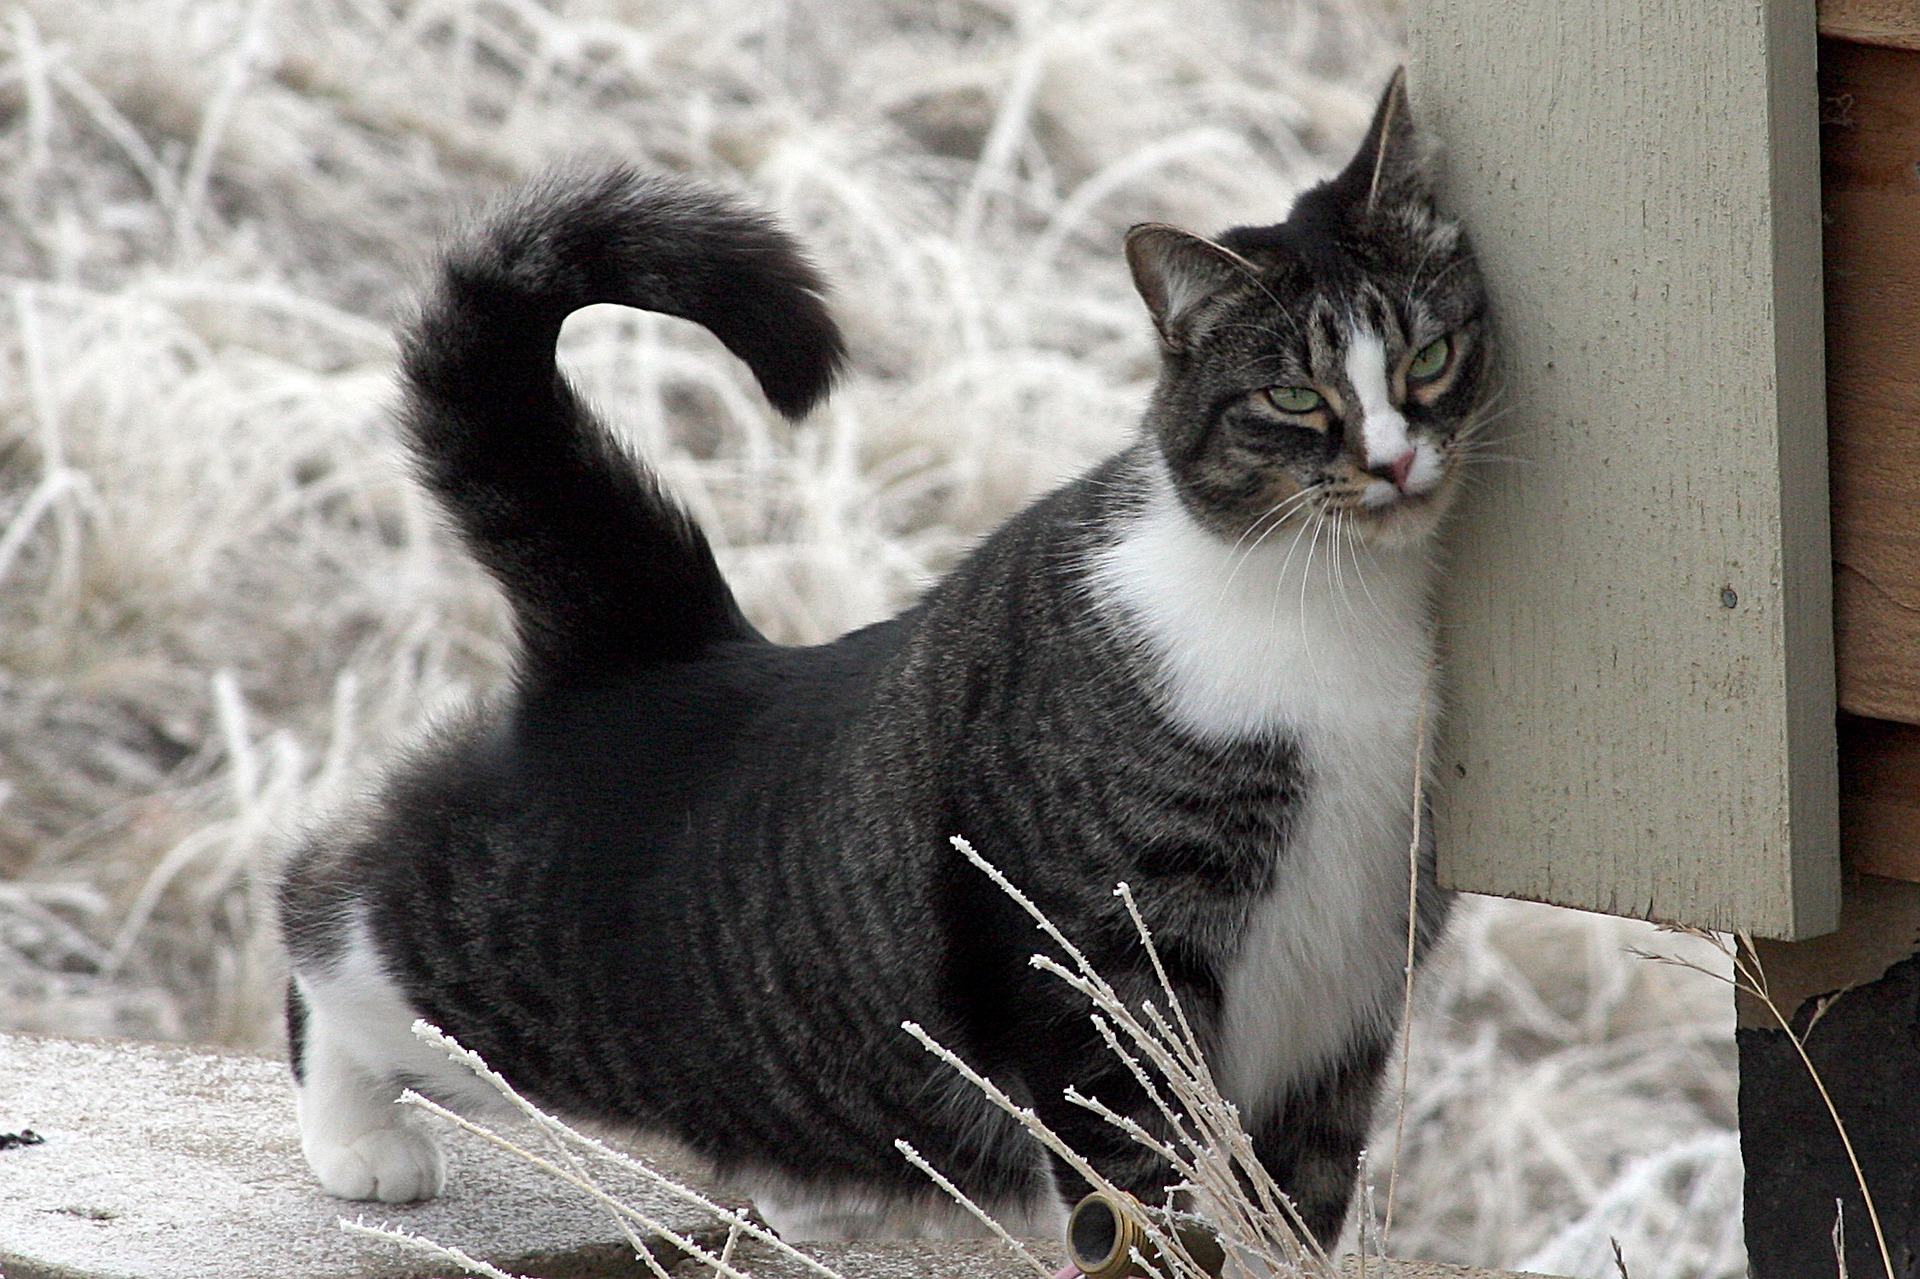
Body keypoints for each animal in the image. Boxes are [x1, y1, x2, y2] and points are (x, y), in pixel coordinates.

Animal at [278, 72, 1489, 1244]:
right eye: (1293, 394)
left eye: (1430, 356)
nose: (1394, 462)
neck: (1335, 605)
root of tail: (659, 642)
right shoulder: (1096, 970)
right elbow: (1146, 1189)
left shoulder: (1351, 1003)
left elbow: (1298, 1205)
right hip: (514, 968)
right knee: (329, 906)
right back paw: (358, 1133)